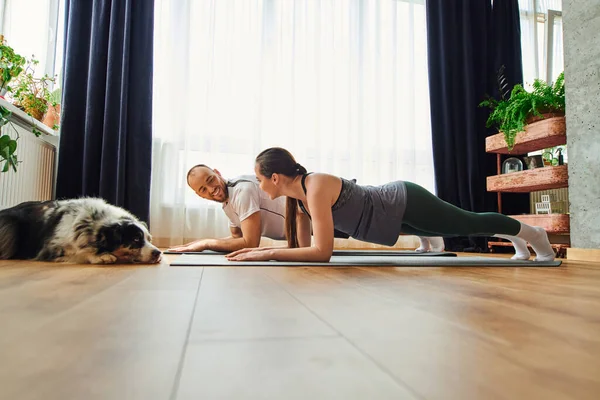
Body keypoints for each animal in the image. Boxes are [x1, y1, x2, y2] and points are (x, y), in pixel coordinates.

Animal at [0, 198, 162, 266]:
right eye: (135, 239)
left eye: (149, 239)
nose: (158, 253)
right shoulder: (51, 248)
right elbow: (79, 252)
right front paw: (101, 256)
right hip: (9, 227)